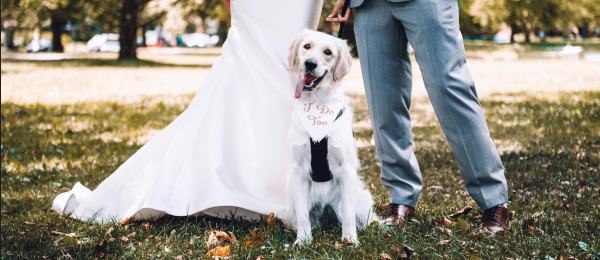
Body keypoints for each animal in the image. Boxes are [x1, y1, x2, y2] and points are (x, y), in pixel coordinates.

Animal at [284, 29, 376, 245]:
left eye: (328, 52)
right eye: (306, 46)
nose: (310, 64)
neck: (317, 104)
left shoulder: (346, 168)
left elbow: (349, 214)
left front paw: (350, 241)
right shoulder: (298, 169)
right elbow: (303, 216)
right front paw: (303, 241)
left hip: (362, 199)